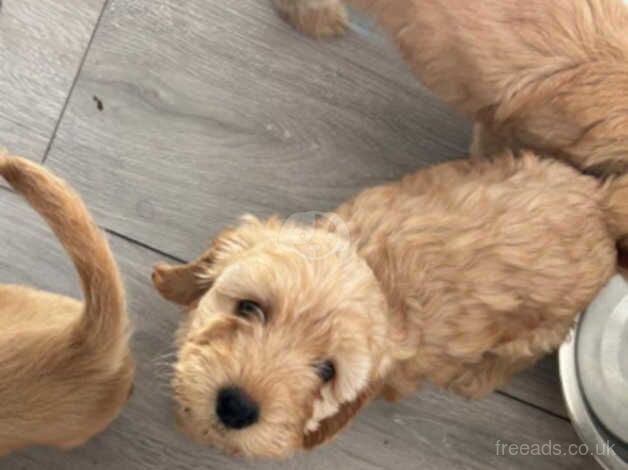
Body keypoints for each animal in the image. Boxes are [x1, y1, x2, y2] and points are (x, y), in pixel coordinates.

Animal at [152, 152, 628, 458]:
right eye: (249, 308)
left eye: (327, 371)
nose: (236, 407)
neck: (379, 273)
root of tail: (602, 206)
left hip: (537, 330)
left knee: (514, 356)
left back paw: (474, 378)